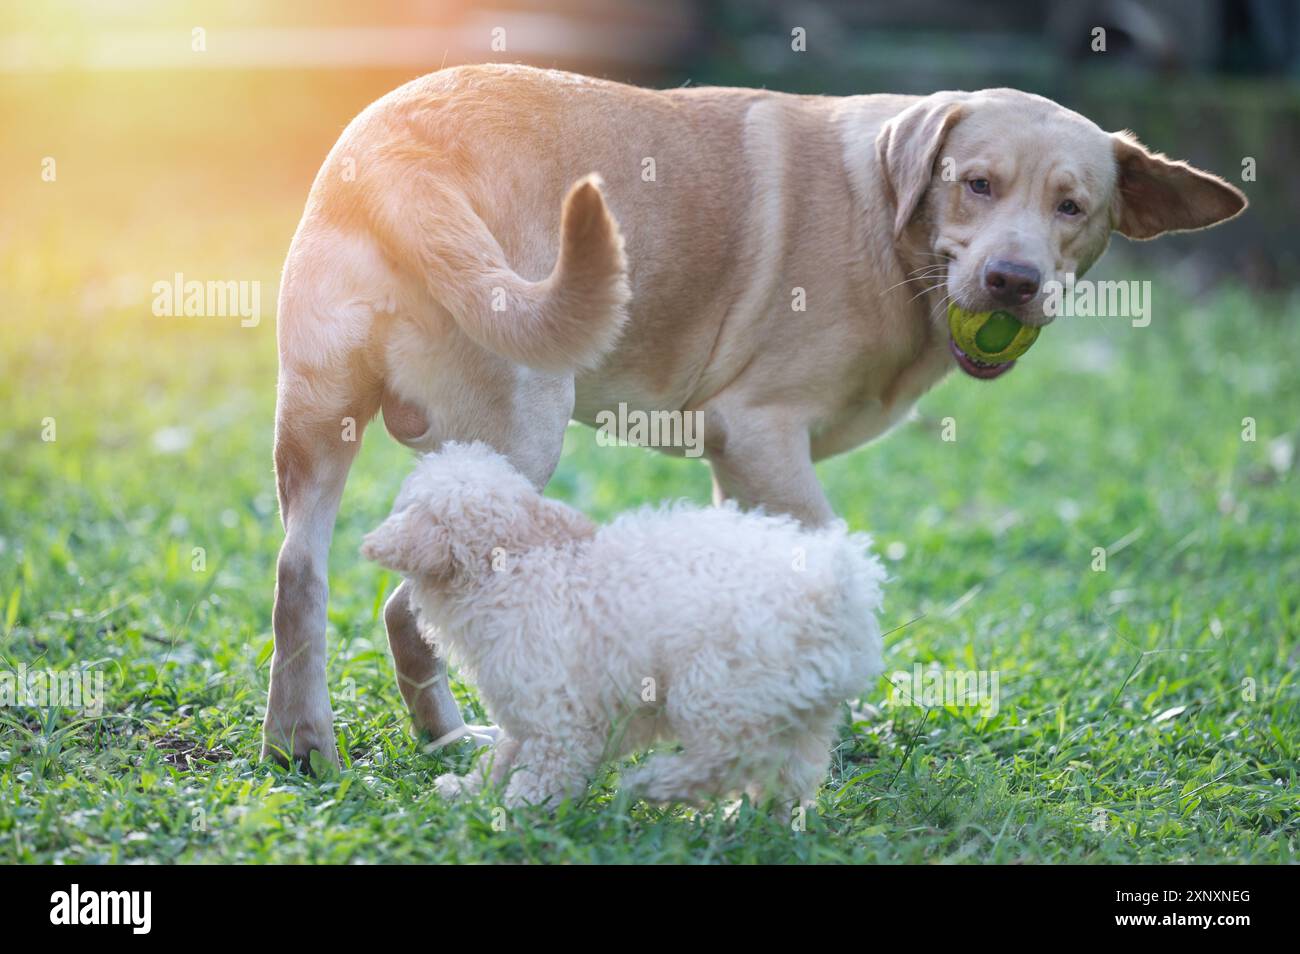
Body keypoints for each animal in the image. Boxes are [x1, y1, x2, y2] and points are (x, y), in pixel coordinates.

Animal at [361, 444, 889, 811]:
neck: (518, 561)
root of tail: (835, 589)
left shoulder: (559, 713)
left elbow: (546, 767)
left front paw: (516, 811)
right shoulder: (530, 711)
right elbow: (505, 754)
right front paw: (469, 792)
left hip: (716, 690)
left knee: (730, 757)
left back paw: (653, 785)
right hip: (803, 710)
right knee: (788, 773)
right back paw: (755, 821)